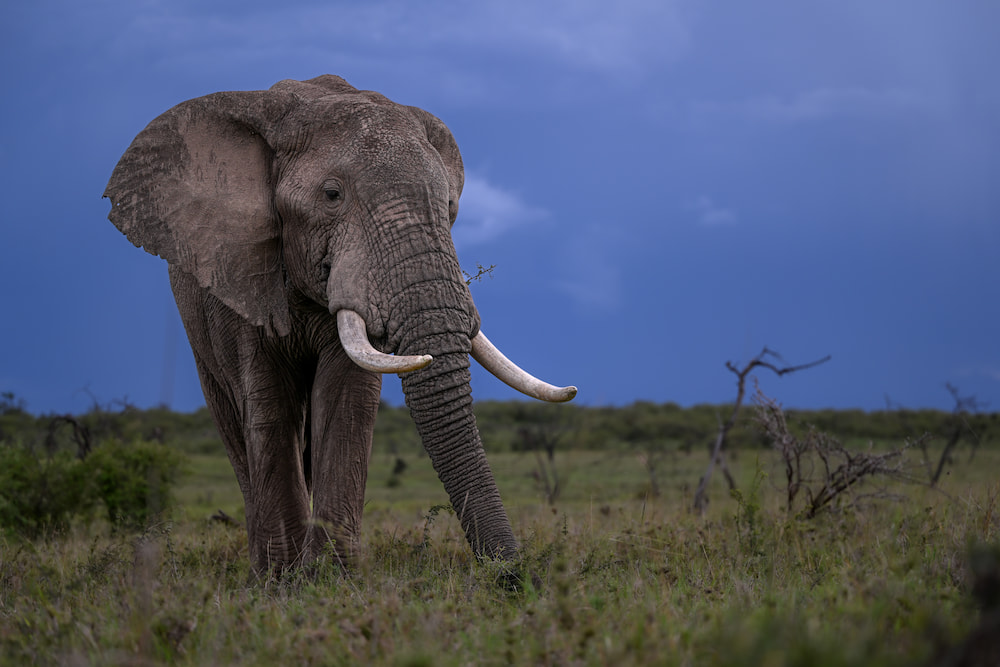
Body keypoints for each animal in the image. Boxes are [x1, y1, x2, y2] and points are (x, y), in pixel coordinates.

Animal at [104, 74, 576, 573]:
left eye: (449, 206)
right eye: (332, 196)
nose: (513, 576)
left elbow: (347, 397)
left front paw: (330, 576)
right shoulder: (238, 271)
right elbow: (268, 400)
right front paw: (283, 579)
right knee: (235, 426)